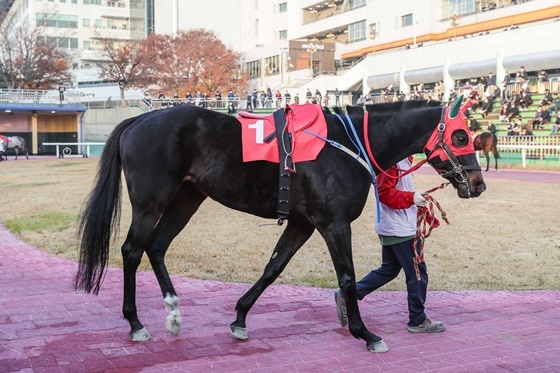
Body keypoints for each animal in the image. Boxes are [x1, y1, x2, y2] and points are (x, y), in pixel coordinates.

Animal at [75, 98, 486, 352]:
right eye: (461, 135)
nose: (478, 183)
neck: (344, 143)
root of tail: (139, 119)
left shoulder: (302, 224)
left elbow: (273, 268)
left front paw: (240, 317)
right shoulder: (333, 223)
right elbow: (347, 277)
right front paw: (365, 333)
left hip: (188, 197)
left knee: (157, 247)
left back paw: (173, 313)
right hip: (151, 201)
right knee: (132, 250)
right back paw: (135, 323)